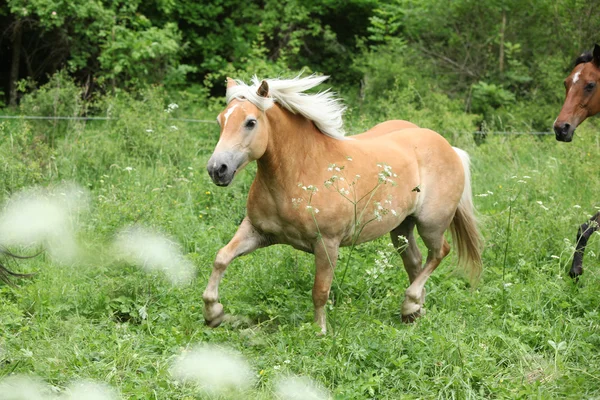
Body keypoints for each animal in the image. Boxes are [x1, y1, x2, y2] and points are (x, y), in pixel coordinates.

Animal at [202, 75, 482, 334]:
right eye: (220, 120)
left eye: (250, 122)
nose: (217, 169)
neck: (302, 171)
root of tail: (450, 147)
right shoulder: (257, 231)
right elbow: (221, 258)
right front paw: (213, 314)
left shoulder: (327, 243)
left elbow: (320, 290)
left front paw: (320, 332)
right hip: (402, 227)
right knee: (414, 261)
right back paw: (414, 313)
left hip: (431, 224)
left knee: (439, 253)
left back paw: (410, 303)